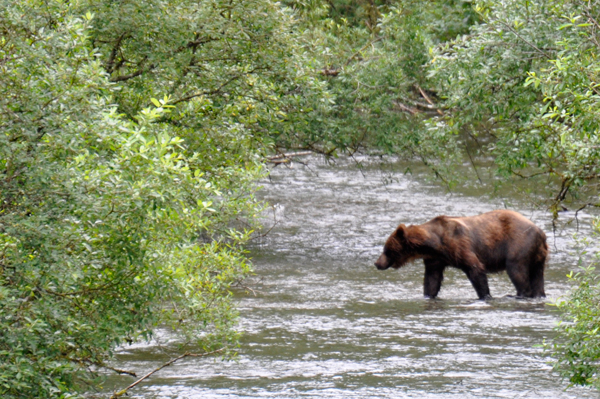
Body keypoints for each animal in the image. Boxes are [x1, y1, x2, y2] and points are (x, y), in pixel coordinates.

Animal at [376, 209, 548, 300]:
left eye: (386, 249)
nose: (377, 263)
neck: (435, 243)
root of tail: (541, 232)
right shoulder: (435, 259)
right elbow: (432, 279)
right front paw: (427, 295)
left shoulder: (460, 245)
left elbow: (476, 269)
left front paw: (485, 295)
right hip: (537, 256)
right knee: (537, 277)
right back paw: (538, 294)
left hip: (518, 245)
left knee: (517, 271)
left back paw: (519, 294)